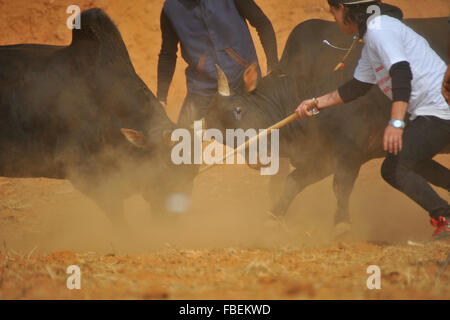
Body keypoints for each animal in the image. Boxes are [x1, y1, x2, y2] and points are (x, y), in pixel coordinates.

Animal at [208, 17, 450, 229]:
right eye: (220, 135)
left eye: (238, 109)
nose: (257, 159)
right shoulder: (322, 154)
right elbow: (293, 182)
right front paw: (273, 216)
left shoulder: (351, 150)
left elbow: (340, 186)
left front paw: (342, 222)